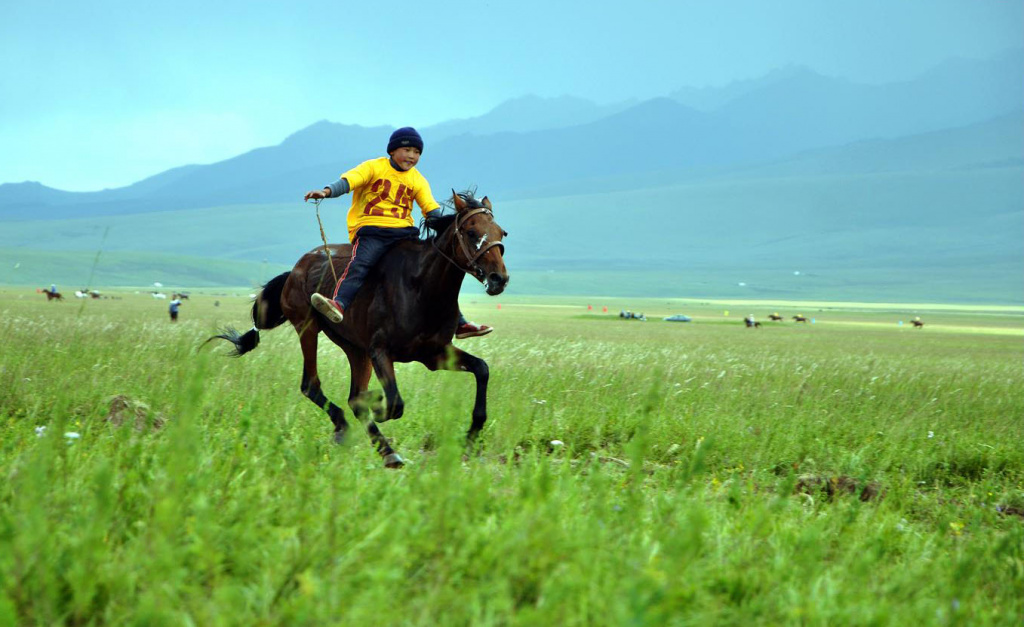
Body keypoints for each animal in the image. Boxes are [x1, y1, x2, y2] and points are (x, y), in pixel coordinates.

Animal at [207, 190, 507, 465]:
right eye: (471, 231)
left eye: (502, 233)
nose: (499, 279)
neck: (421, 288)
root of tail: (295, 270)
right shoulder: (381, 352)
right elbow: (394, 404)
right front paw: (377, 403)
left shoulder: (434, 354)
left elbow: (482, 369)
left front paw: (471, 439)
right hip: (309, 328)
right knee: (313, 386)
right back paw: (356, 433)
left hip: (355, 349)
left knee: (352, 398)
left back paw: (387, 452)